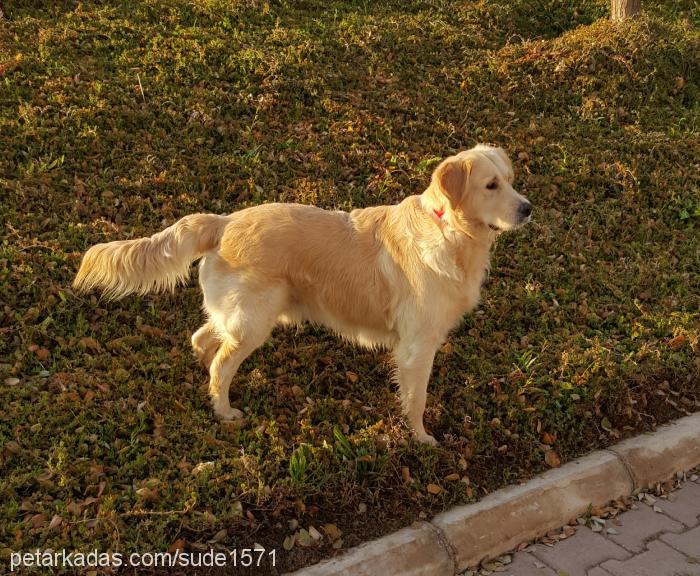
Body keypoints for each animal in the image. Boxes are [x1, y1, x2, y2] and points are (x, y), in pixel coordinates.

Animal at [74, 145, 532, 446]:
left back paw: (210, 391)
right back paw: (224, 410)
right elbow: (416, 399)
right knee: (221, 361)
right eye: (491, 185)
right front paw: (421, 439)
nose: (528, 208)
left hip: (242, 316)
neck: (449, 231)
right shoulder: (417, 346)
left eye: (510, 181)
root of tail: (223, 221)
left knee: (203, 340)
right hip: (254, 321)